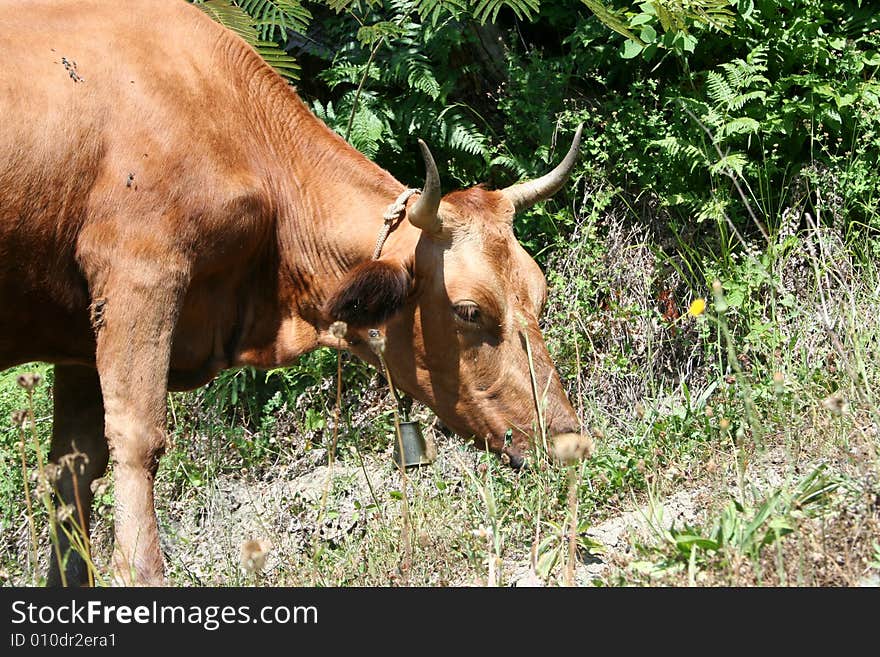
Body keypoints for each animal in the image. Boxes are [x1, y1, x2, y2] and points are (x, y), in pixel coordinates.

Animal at [1, 0, 592, 584]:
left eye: (539, 294)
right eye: (468, 310)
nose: (569, 441)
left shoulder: (80, 338)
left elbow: (74, 471)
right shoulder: (138, 276)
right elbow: (137, 440)